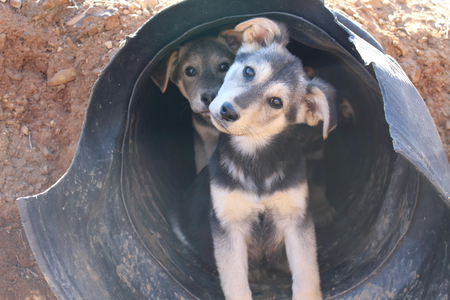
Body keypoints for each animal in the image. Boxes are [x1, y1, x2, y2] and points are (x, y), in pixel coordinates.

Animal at [206, 18, 336, 300]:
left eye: (276, 102)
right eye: (248, 72)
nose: (227, 111)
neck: (256, 158)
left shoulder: (296, 219)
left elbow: (307, 277)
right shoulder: (228, 223)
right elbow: (235, 284)